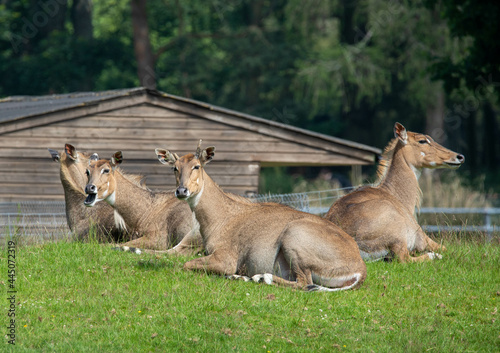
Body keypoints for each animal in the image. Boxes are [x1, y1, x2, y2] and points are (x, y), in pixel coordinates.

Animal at [154, 141, 366, 292]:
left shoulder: (225, 259)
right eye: (175, 167)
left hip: (293, 237)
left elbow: (186, 264)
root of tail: (360, 269)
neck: (221, 217)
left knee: (304, 283)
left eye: (197, 166)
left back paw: (262, 277)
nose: (182, 190)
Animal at [324, 121, 464, 262]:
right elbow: (446, 248)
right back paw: (434, 256)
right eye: (422, 141)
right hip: (399, 235)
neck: (394, 194)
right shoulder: (422, 238)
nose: (459, 156)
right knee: (404, 258)